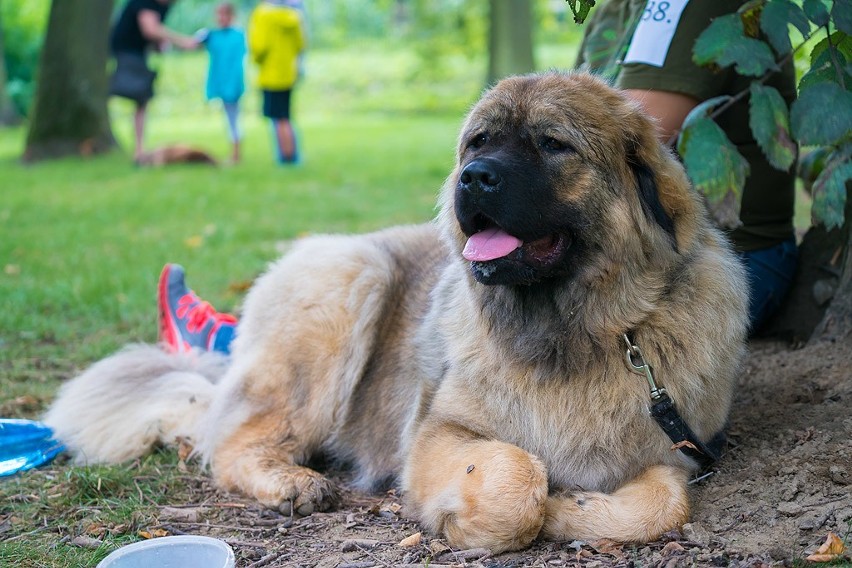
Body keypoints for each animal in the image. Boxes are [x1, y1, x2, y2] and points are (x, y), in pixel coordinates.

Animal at [46, 73, 744, 552]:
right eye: (479, 141)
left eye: (553, 145)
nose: (474, 177)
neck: (578, 333)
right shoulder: (440, 434)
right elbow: (516, 478)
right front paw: (525, 509)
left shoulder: (676, 450)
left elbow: (664, 507)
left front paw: (578, 510)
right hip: (350, 280)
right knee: (233, 444)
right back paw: (291, 481)